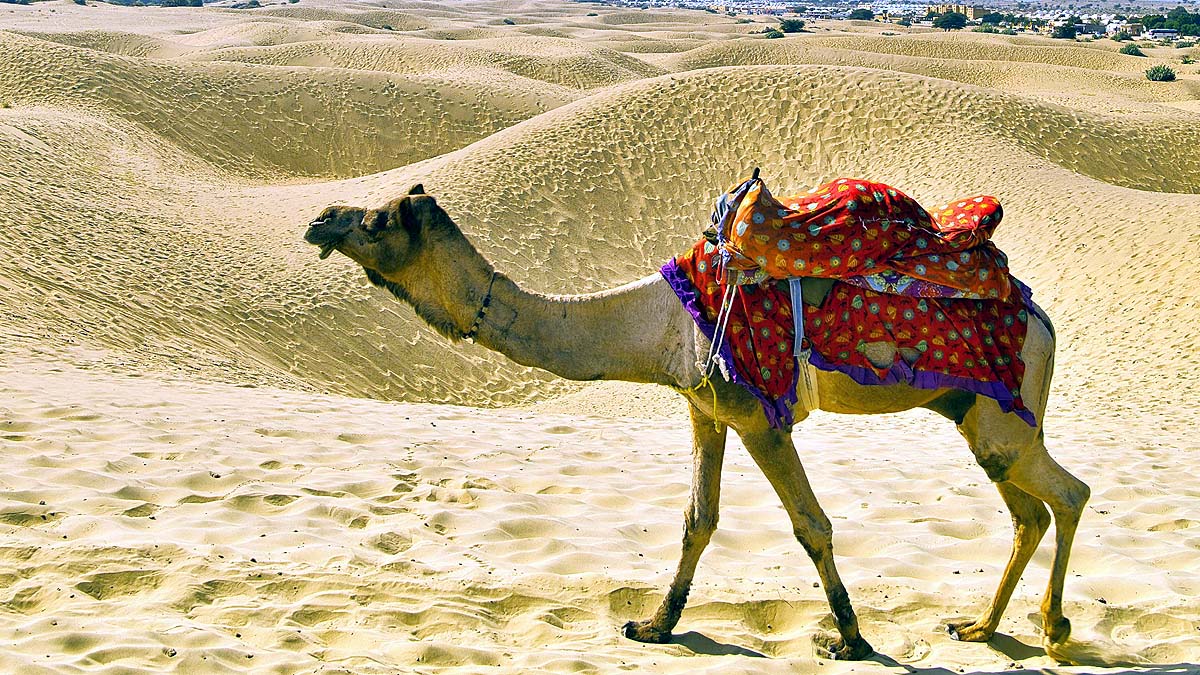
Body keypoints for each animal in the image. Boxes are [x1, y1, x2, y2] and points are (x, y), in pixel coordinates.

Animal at [304, 185, 1090, 661]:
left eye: (377, 221)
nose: (321, 218)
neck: (657, 323)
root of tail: (1043, 317)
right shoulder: (704, 408)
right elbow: (697, 519)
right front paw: (654, 625)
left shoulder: (759, 417)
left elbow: (811, 525)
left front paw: (851, 641)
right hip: (975, 412)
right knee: (1028, 509)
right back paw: (981, 626)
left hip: (1006, 410)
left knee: (1069, 494)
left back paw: (1053, 631)